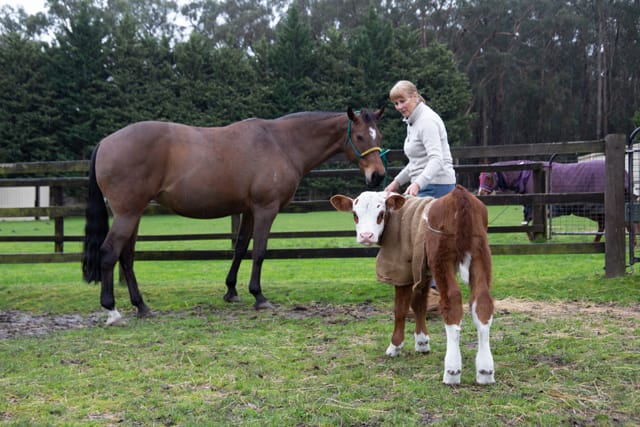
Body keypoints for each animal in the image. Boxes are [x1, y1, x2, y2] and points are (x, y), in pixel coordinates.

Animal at [83, 108, 386, 325]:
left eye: (378, 136)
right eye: (360, 137)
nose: (378, 176)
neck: (281, 143)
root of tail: (105, 142)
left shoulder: (249, 210)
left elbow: (240, 248)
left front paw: (231, 291)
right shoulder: (266, 209)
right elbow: (259, 251)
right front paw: (259, 296)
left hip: (134, 213)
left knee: (126, 257)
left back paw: (141, 306)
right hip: (127, 213)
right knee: (109, 252)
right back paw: (112, 310)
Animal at [330, 185, 495, 385]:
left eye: (380, 213)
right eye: (355, 214)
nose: (366, 236)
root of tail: (459, 195)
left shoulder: (402, 270)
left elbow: (400, 309)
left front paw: (395, 346)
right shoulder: (422, 270)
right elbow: (419, 304)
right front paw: (422, 342)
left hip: (442, 259)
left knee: (452, 302)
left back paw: (452, 371)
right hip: (480, 254)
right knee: (482, 302)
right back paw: (485, 371)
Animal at [478, 159, 630, 242]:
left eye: (489, 177)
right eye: (480, 177)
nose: (481, 193)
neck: (525, 176)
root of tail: (625, 173)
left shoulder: (536, 208)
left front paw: (536, 239)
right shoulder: (529, 208)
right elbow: (525, 224)